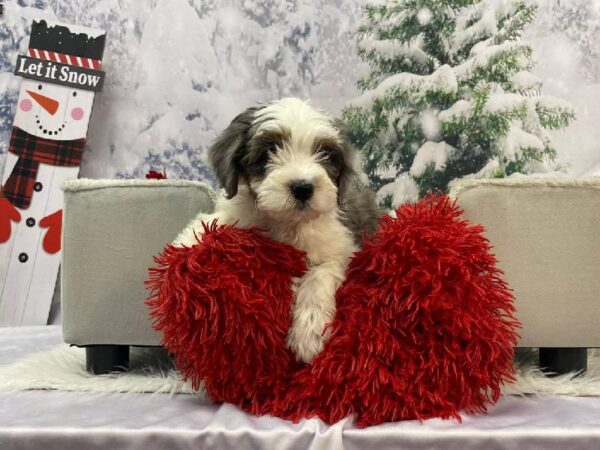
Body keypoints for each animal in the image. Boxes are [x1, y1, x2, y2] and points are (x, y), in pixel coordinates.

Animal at [176, 97, 378, 362]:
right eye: (268, 152)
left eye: (325, 153)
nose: (303, 188)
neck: (287, 222)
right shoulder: (240, 214)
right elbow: (212, 221)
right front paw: (185, 242)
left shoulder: (343, 247)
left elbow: (321, 274)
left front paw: (309, 331)